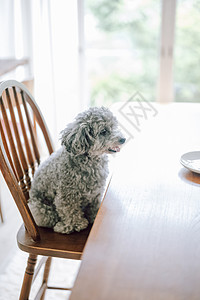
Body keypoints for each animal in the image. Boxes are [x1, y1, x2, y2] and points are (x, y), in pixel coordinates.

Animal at [28, 106, 125, 236]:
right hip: (39, 208)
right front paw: (75, 225)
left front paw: (94, 216)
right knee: (50, 217)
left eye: (114, 126)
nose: (123, 139)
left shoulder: (96, 192)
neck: (91, 161)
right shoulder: (66, 196)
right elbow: (70, 212)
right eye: (103, 131)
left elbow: (93, 206)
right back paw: (61, 225)